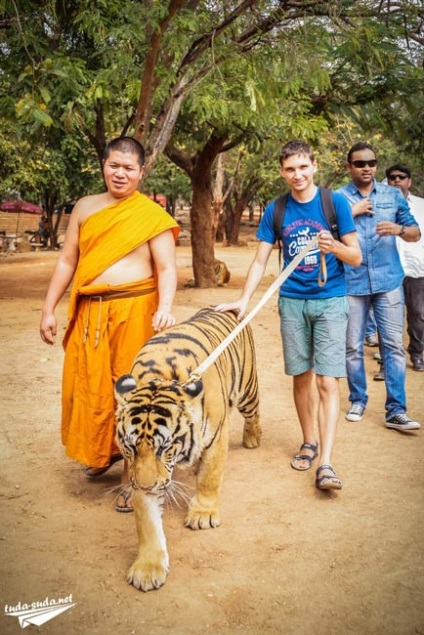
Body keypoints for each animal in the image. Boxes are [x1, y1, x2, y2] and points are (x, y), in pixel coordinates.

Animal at [115, 306, 262, 592]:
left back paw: (253, 438)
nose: (145, 486)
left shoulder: (217, 436)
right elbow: (147, 521)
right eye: (130, 447)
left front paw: (203, 514)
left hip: (247, 390)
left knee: (254, 413)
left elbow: (209, 476)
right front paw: (148, 568)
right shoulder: (144, 475)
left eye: (165, 447)